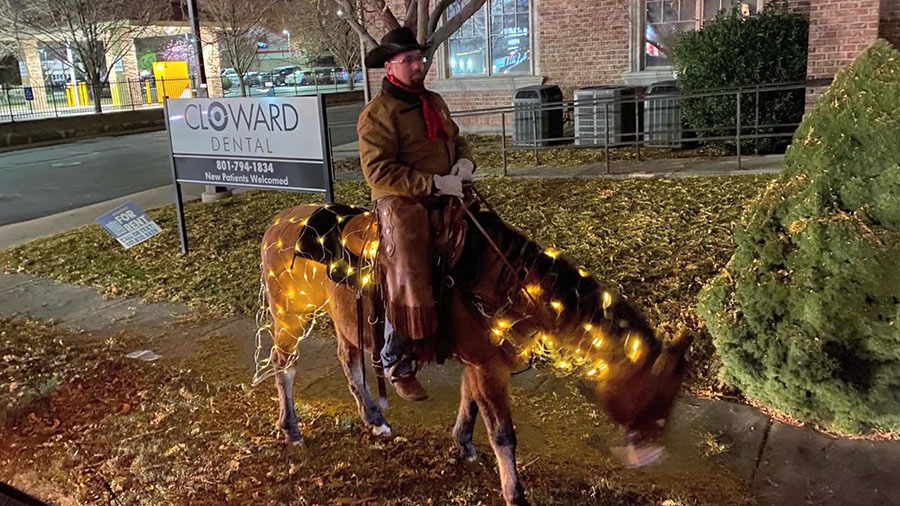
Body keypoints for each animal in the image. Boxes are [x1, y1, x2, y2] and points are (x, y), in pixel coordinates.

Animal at [256, 199, 692, 506]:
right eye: (656, 395)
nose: (650, 454)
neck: (507, 280)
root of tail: (280, 222)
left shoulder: (481, 361)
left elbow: (470, 402)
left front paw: (464, 444)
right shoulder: (487, 365)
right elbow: (502, 432)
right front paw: (515, 493)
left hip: (346, 321)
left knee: (351, 365)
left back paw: (375, 419)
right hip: (290, 314)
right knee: (284, 365)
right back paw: (291, 428)